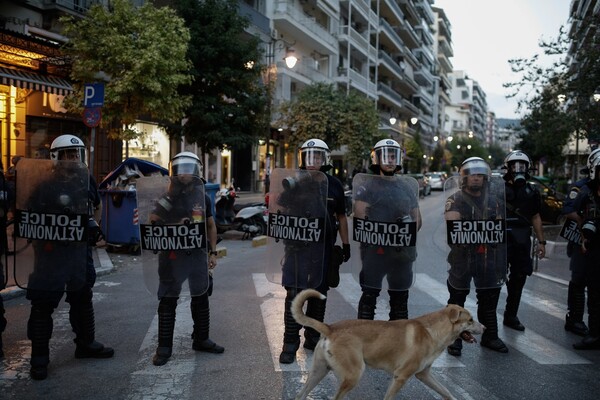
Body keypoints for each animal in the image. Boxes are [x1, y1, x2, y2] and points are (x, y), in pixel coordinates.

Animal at [292, 290, 486, 400]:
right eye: (470, 320)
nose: (484, 327)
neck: (433, 331)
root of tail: (330, 328)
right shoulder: (401, 376)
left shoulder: (424, 375)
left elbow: (446, 391)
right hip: (353, 374)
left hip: (319, 371)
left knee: (300, 395)